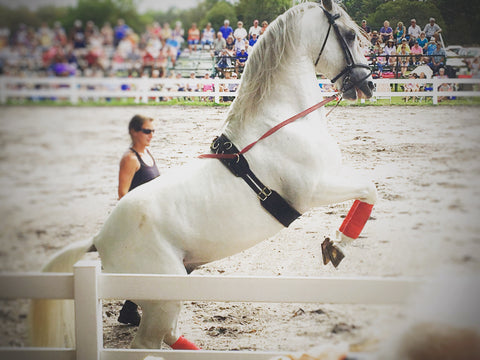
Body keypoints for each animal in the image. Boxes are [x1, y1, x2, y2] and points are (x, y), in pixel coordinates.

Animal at [31, 0, 378, 348]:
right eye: (350, 35)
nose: (370, 83)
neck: (282, 122)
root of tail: (99, 240)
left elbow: (368, 188)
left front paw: (335, 243)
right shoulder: (313, 189)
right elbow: (369, 188)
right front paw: (338, 244)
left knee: (170, 335)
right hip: (161, 298)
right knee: (147, 343)